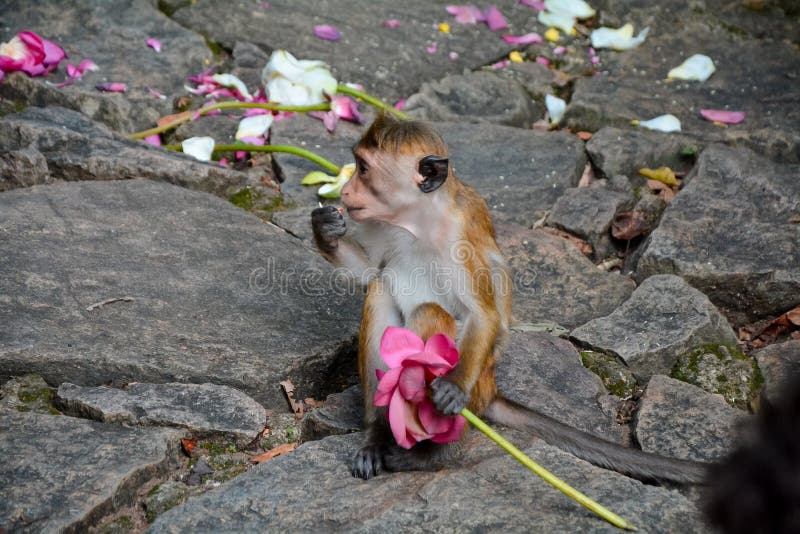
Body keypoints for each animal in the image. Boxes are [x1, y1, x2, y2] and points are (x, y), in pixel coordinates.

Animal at [311, 113, 707, 484]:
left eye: (363, 169)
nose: (346, 191)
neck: (416, 221)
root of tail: (490, 389)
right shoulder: (383, 226)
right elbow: (372, 273)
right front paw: (325, 229)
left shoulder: (461, 240)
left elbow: (482, 314)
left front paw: (453, 386)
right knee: (380, 293)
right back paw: (377, 433)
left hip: (477, 384)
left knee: (428, 314)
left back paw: (432, 453)